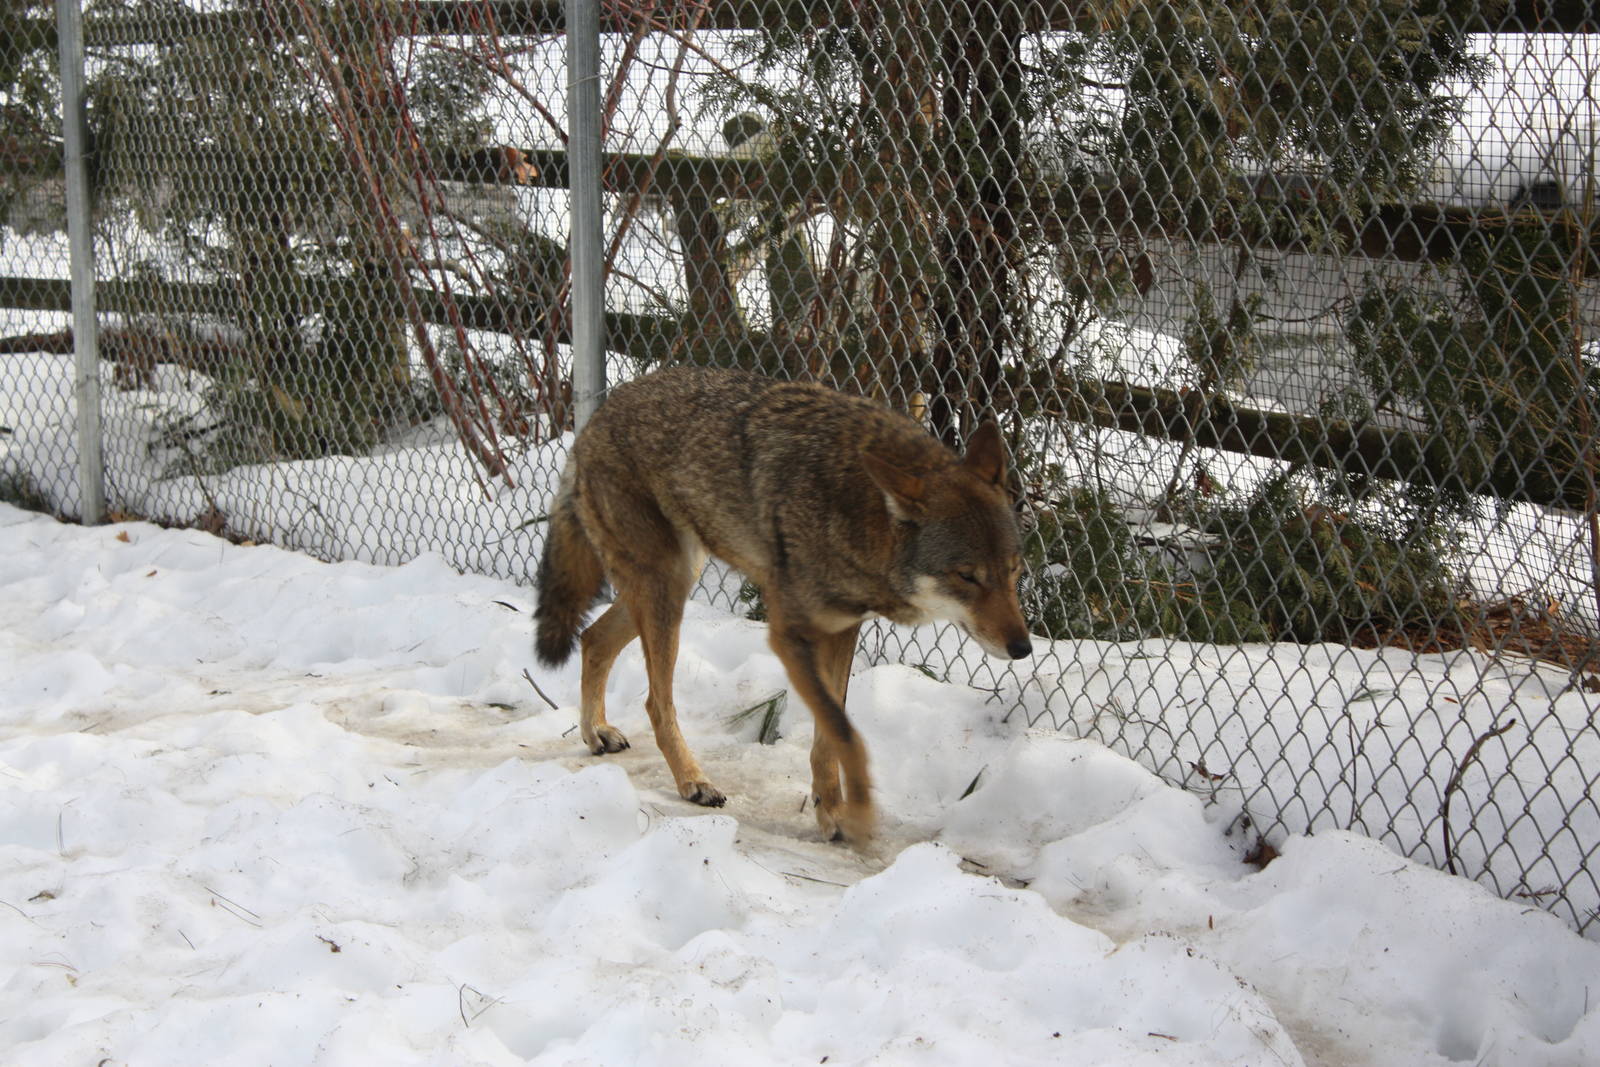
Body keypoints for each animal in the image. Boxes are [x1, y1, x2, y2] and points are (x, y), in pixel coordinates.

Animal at [533, 366, 1032, 844]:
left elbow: (830, 736)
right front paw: (855, 813)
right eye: (966, 576)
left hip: (674, 580)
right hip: (664, 588)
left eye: (1014, 568)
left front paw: (832, 811)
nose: (1023, 648)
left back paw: (596, 733)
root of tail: (598, 416)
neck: (856, 509)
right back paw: (693, 781)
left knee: (594, 638)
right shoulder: (789, 636)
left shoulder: (842, 631)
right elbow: (847, 736)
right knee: (656, 701)